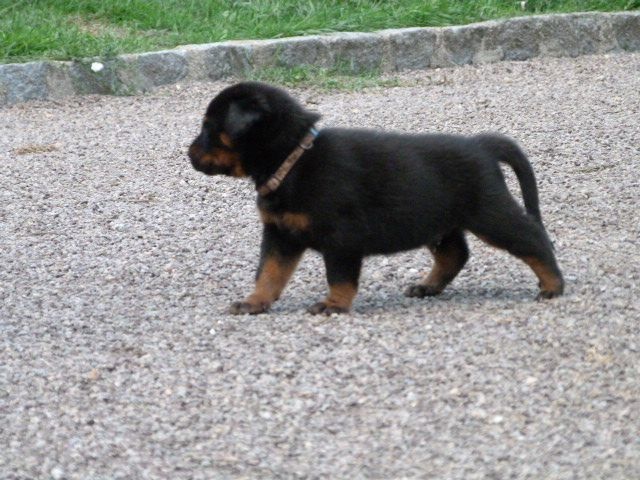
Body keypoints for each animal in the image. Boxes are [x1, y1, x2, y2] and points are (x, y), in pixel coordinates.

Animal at [188, 82, 564, 316]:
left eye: (208, 128)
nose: (188, 153)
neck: (292, 158)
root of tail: (483, 146)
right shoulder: (280, 234)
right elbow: (269, 272)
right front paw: (254, 302)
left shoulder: (340, 239)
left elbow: (339, 277)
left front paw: (334, 305)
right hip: (437, 220)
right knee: (455, 254)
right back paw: (427, 287)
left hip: (489, 213)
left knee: (532, 237)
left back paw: (553, 286)